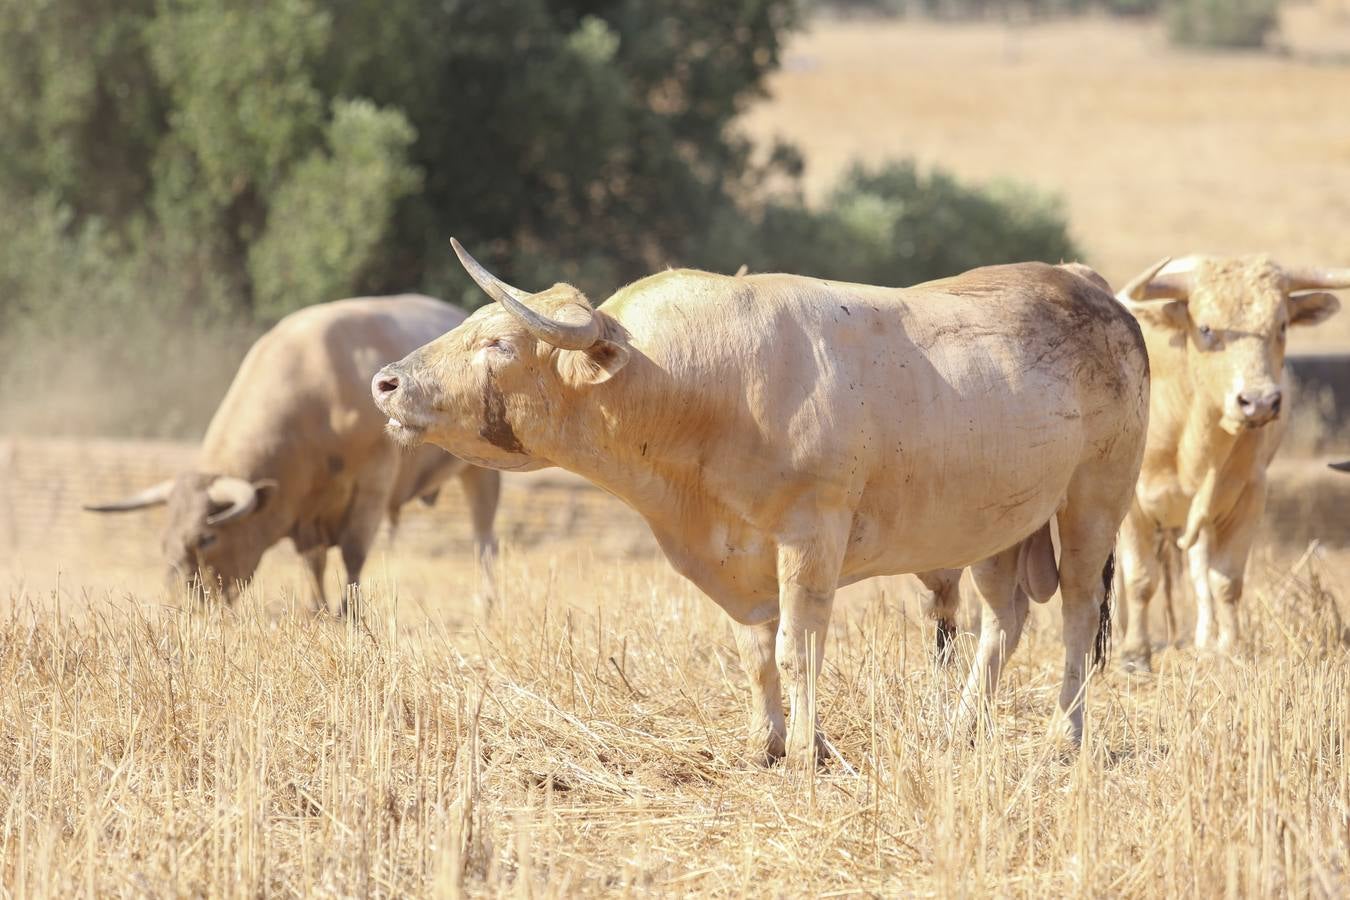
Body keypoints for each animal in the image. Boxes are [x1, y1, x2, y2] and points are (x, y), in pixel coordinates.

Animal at [88, 294, 502, 612]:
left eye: (206, 539)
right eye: (164, 542)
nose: (180, 605)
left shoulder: (372, 484)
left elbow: (353, 554)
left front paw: (349, 613)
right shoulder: (306, 511)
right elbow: (312, 563)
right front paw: (315, 610)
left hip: (481, 473)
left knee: (484, 538)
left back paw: (486, 600)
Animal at [372, 242, 1150, 766]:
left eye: (498, 342)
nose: (385, 382)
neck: (702, 387)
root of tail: (1086, 284)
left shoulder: (811, 537)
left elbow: (798, 645)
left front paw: (808, 748)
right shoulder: (739, 560)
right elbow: (757, 651)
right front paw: (765, 740)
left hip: (1093, 502)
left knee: (1078, 613)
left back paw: (1064, 733)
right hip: (997, 528)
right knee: (1003, 621)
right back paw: (962, 728)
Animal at [1112, 255, 1344, 669]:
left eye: (1281, 325)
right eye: (1206, 328)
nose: (1259, 401)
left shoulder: (1247, 496)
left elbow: (1226, 580)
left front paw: (1229, 648)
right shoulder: (1135, 502)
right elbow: (1139, 578)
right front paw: (1134, 653)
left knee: (1200, 570)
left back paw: (1206, 639)